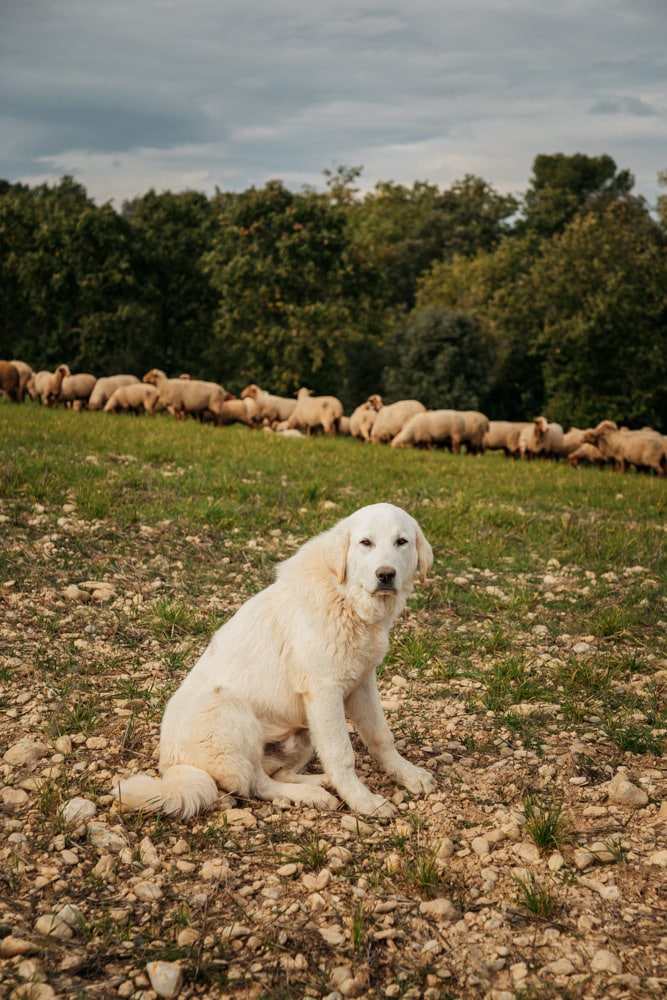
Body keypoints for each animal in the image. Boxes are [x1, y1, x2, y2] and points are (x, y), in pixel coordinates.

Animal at [113, 504, 438, 816]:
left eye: (402, 542)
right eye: (365, 543)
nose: (386, 575)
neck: (346, 597)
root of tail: (174, 767)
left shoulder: (362, 683)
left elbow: (381, 736)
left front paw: (408, 774)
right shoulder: (324, 691)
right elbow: (342, 755)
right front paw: (364, 801)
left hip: (304, 732)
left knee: (278, 774)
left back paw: (319, 783)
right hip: (227, 706)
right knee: (258, 784)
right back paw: (312, 795)